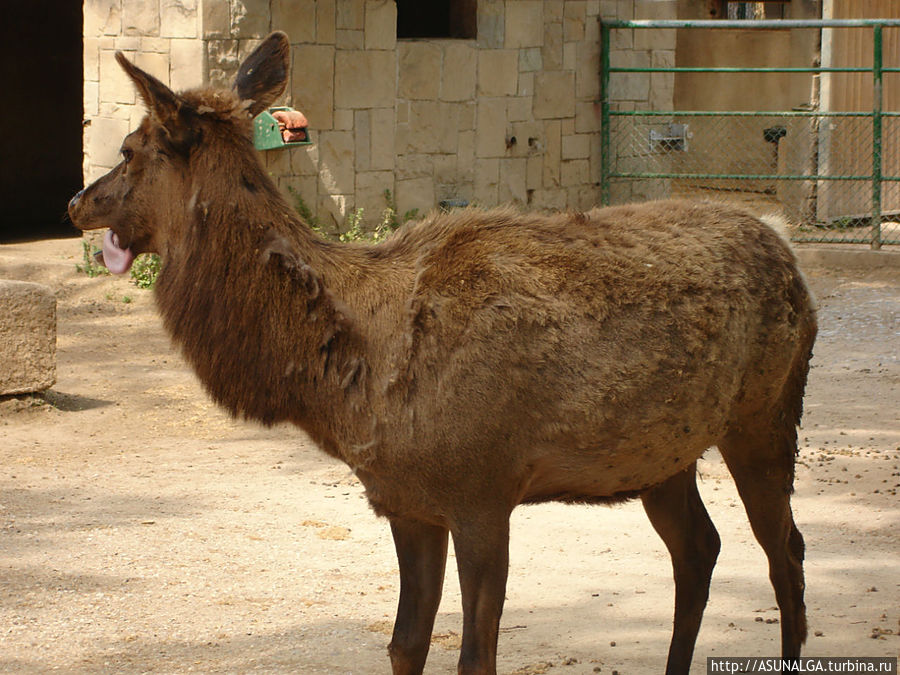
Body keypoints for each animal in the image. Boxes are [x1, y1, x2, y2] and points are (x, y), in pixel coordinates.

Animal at [68, 33, 816, 675]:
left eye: (131, 148)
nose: (77, 202)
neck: (349, 382)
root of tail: (787, 249)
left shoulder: (483, 488)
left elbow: (475, 654)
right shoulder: (407, 501)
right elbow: (405, 643)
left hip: (765, 414)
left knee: (785, 550)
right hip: (665, 453)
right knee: (699, 548)